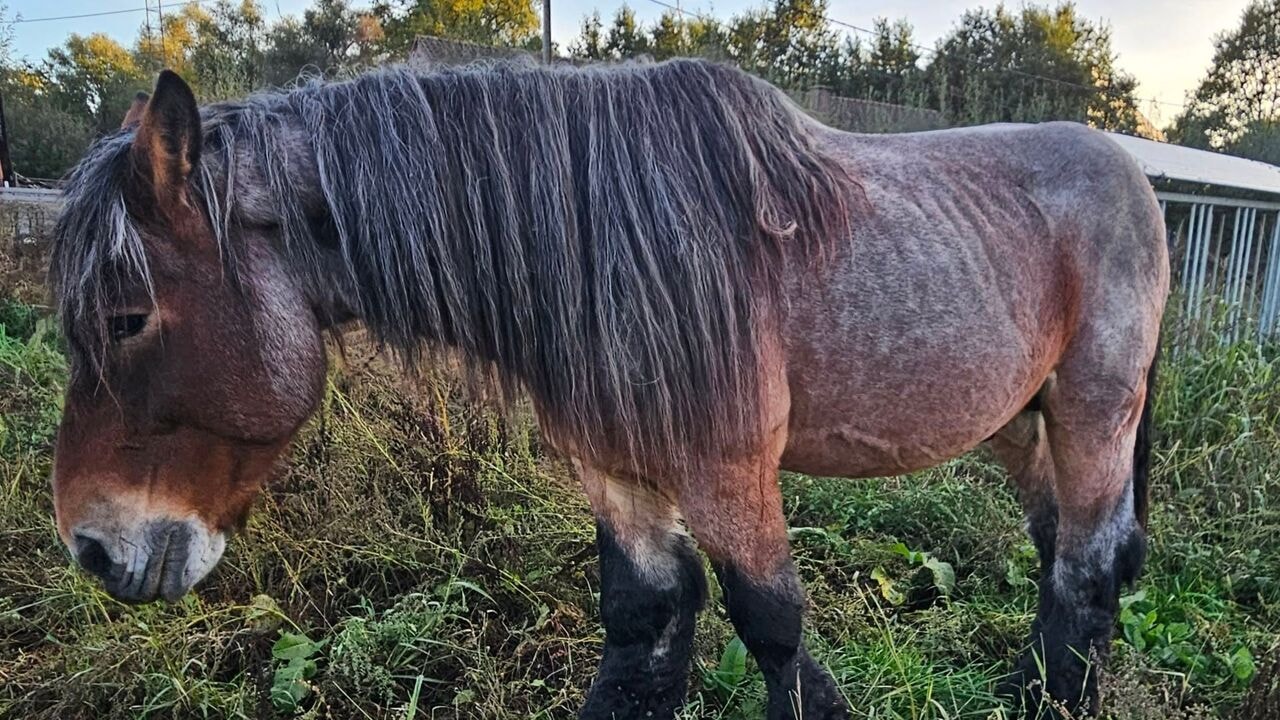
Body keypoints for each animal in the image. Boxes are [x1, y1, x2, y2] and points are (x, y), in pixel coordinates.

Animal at [47, 60, 1167, 719]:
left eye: (126, 317)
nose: (93, 548)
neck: (609, 246)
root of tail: (1130, 171)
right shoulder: (616, 468)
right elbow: (642, 615)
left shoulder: (728, 470)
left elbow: (768, 623)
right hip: (1019, 423)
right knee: (1066, 546)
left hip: (1093, 410)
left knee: (1085, 557)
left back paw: (1054, 699)